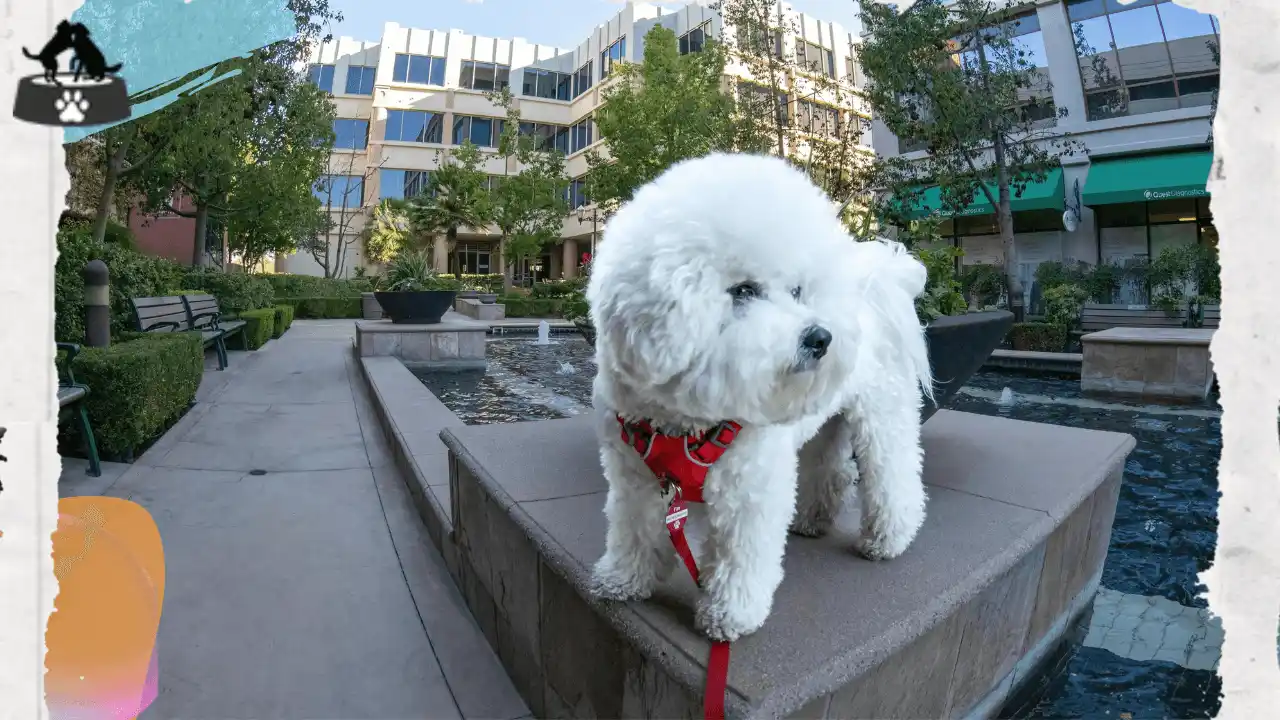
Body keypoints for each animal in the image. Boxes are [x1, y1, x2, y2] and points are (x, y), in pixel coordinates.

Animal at [586, 151, 931, 638]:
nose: (821, 338)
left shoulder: (749, 485)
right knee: (832, 469)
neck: (684, 422)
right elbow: (633, 529)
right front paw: (623, 579)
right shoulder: (633, 477)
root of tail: (873, 290)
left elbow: (742, 552)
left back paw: (888, 539)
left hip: (883, 415)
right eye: (744, 290)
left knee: (893, 472)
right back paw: (812, 519)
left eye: (797, 290)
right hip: (825, 421)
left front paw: (730, 613)